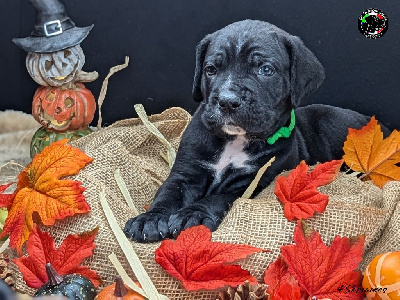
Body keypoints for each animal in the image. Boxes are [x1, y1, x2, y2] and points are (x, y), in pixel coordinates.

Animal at [125, 20, 372, 241]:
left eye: (265, 70)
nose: (227, 101)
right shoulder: (186, 172)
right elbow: (167, 194)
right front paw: (150, 219)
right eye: (211, 70)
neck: (235, 140)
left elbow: (219, 198)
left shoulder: (251, 184)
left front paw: (193, 214)